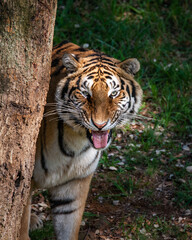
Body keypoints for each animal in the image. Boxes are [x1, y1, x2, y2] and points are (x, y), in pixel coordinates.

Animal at [19, 41, 142, 240]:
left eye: (113, 94)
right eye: (85, 94)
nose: (100, 124)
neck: (75, 143)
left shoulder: (74, 185)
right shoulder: (24, 182)